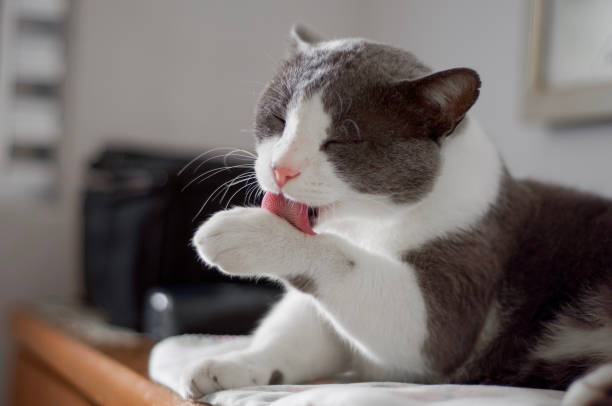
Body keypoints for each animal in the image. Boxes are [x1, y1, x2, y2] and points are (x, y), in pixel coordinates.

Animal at [148, 26, 612, 406]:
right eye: (277, 118)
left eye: (341, 141)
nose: (281, 169)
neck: (371, 227)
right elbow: (303, 331)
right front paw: (231, 363)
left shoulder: (468, 275)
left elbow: (376, 290)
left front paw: (245, 235)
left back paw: (588, 391)